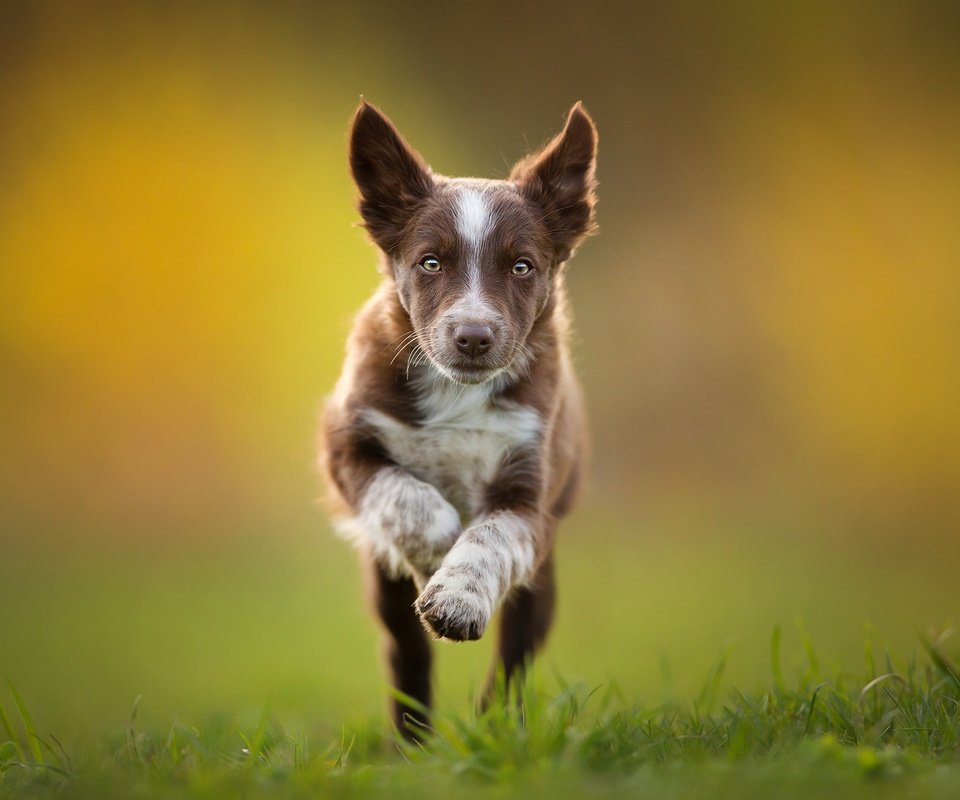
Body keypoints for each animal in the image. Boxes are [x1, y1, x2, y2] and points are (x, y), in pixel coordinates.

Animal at [318, 101, 596, 736]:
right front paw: (437, 549)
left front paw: (456, 597)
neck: (456, 391)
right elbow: (403, 495)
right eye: (430, 262)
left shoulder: (529, 494)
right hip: (385, 589)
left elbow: (488, 538)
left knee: (516, 656)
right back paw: (411, 741)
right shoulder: (345, 443)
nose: (473, 337)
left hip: (541, 583)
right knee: (406, 652)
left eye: (522, 267)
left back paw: (495, 726)